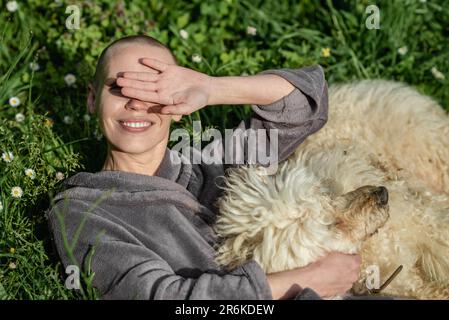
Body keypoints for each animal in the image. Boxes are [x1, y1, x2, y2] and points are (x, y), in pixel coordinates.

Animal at [214, 80, 448, 300]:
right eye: (334, 226)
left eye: (325, 196)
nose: (382, 194)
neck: (370, 250)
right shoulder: (407, 280)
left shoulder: (423, 219)